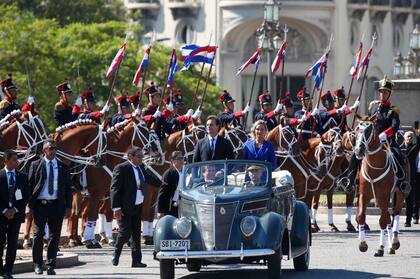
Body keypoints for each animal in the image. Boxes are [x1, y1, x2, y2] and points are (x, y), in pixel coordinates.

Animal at [354, 119, 406, 258]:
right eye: (356, 130)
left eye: (368, 131)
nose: (358, 150)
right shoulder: (364, 195)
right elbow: (361, 216)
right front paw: (362, 244)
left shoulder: (384, 195)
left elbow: (382, 221)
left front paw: (380, 248)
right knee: (388, 216)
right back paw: (390, 246)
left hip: (399, 194)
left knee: (395, 213)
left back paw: (394, 242)